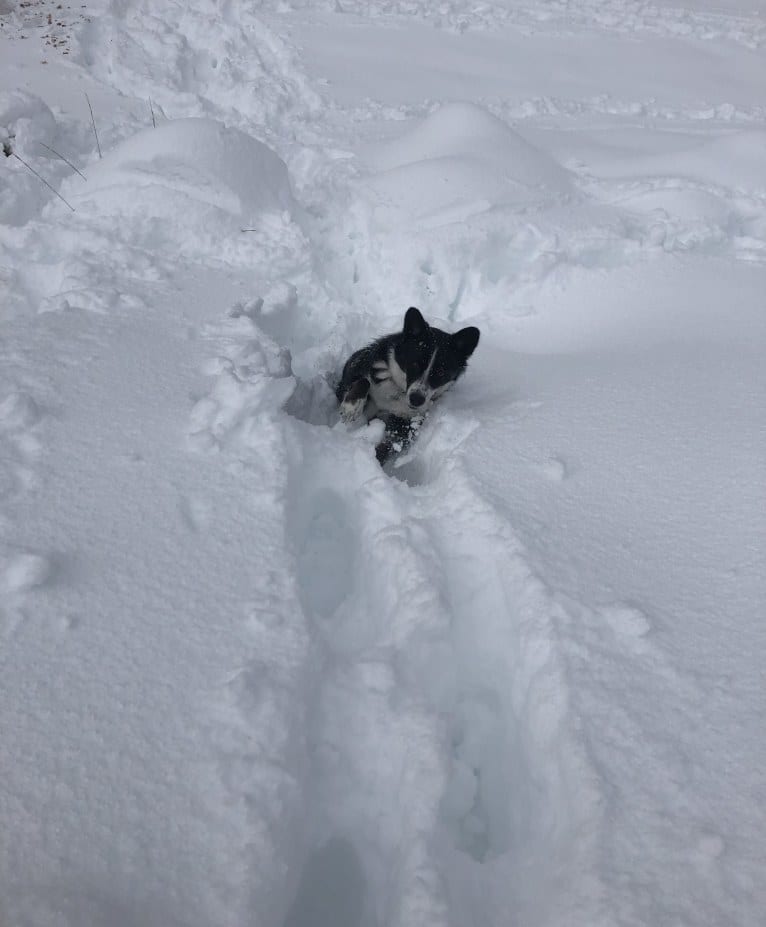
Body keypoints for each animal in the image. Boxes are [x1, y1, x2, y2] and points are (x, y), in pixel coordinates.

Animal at [336, 308, 480, 464]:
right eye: (415, 364)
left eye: (441, 372)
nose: (416, 399)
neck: (399, 391)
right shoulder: (348, 377)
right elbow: (363, 382)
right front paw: (351, 408)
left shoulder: (406, 425)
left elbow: (388, 446)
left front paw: (375, 461)